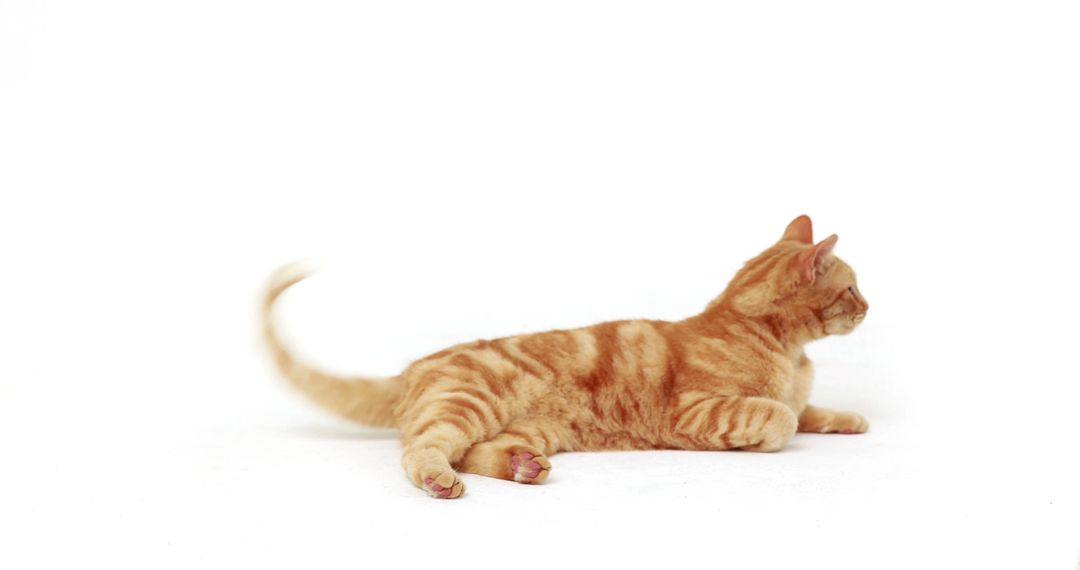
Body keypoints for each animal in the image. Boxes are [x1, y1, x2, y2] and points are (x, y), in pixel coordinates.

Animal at [261, 214, 868, 498]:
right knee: (424, 449)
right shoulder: (696, 410)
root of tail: (412, 368)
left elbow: (809, 411)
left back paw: (522, 466)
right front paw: (762, 437)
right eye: (852, 288)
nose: (869, 307)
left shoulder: (795, 395)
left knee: (472, 450)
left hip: (529, 426)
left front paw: (851, 418)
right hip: (467, 401)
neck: (788, 352)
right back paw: (440, 480)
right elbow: (781, 417)